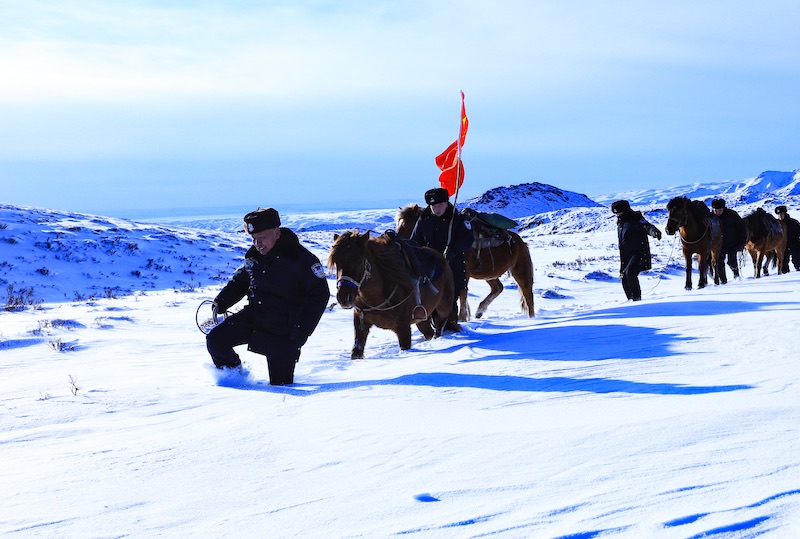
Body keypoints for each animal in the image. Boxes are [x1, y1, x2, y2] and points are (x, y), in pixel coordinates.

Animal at [326, 229, 454, 358]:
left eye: (360, 261)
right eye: (336, 262)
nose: (343, 298)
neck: (375, 298)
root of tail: (442, 259)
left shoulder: (403, 328)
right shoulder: (361, 324)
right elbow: (357, 351)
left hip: (443, 309)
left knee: (439, 327)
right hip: (422, 318)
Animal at [396, 202, 536, 320]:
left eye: (405, 225)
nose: (398, 242)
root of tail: (520, 242)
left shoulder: (464, 271)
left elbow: (462, 292)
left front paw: (462, 317)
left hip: (520, 270)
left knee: (527, 293)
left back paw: (531, 319)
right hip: (489, 274)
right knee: (498, 288)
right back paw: (479, 311)